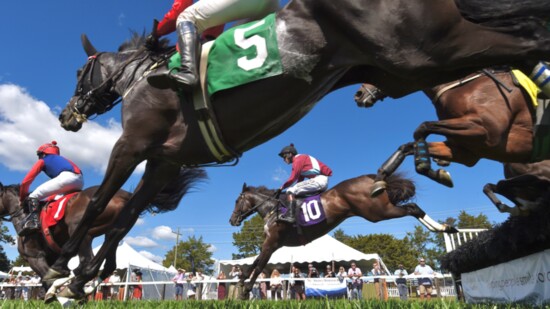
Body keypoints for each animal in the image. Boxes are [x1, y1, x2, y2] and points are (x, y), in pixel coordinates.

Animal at [229, 172, 458, 298]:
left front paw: (245, 291)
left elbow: (259, 265)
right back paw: (444, 228)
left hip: (377, 212)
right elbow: (253, 263)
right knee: (412, 206)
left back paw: (442, 228)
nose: (232, 220)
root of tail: (371, 177)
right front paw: (241, 282)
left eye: (237, 200)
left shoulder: (273, 242)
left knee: (412, 208)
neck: (273, 209)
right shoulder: (271, 243)